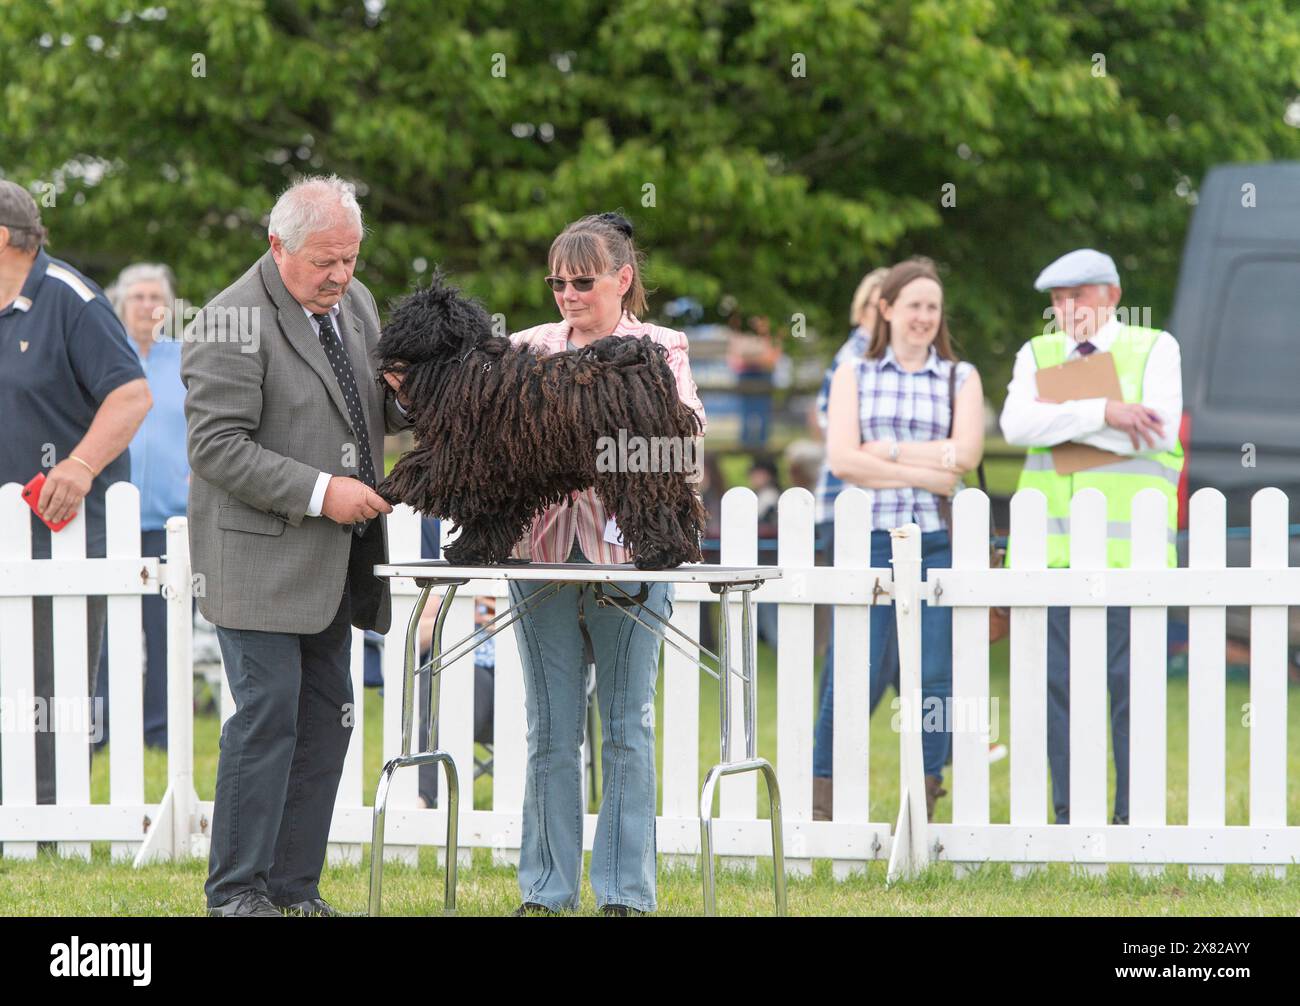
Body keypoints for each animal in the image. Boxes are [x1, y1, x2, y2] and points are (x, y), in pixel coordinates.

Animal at [371, 271, 707, 571]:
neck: (463, 362)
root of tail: (641, 357)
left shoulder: (460, 453)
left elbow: (421, 468)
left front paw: (389, 486)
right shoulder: (504, 473)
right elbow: (491, 516)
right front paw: (469, 551)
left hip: (631, 459)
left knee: (647, 501)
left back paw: (658, 555)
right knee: (676, 501)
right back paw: (675, 551)